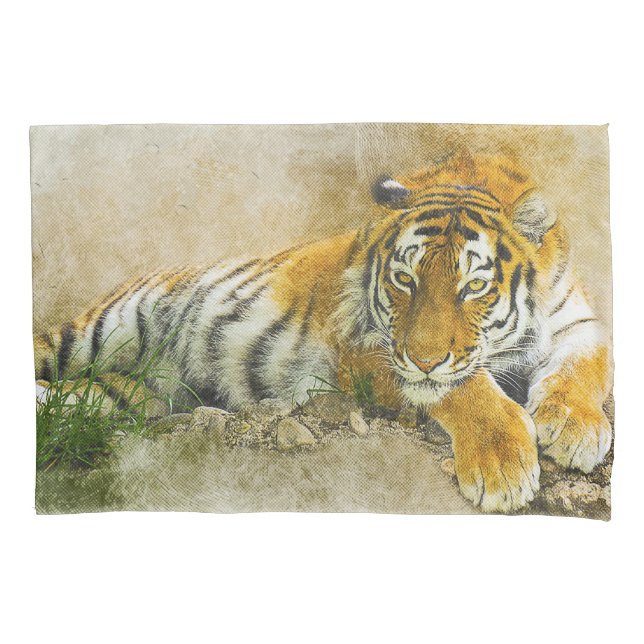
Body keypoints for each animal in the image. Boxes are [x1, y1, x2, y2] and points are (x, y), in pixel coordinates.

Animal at [34, 151, 612, 513]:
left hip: (130, 392)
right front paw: (503, 466)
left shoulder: (579, 322)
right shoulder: (366, 347)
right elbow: (463, 386)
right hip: (97, 332)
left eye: (473, 286)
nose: (424, 358)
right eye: (405, 279)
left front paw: (575, 429)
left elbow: (586, 368)